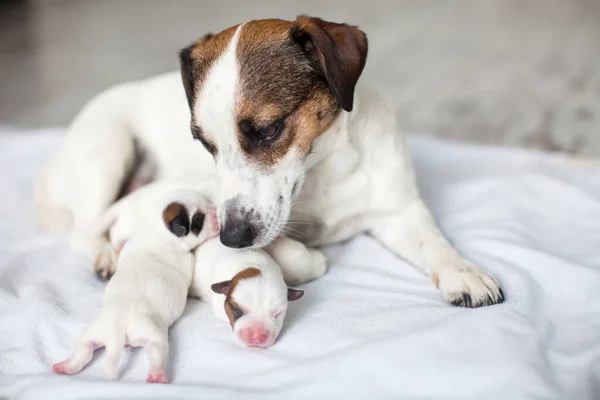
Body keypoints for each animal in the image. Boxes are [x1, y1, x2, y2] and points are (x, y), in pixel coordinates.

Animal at [36, 16, 502, 310]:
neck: (321, 171)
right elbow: (284, 246)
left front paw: (464, 271)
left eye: (268, 129)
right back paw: (105, 254)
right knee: (84, 231)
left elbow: (434, 242)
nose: (231, 238)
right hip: (107, 152)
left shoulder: (398, 210)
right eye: (203, 142)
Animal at [52, 191, 218, 384]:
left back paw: (65, 367)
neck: (157, 231)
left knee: (84, 350)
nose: (216, 212)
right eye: (199, 218)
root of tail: (116, 326)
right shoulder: (187, 259)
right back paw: (157, 375)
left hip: (92, 333)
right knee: (156, 351)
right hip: (153, 333)